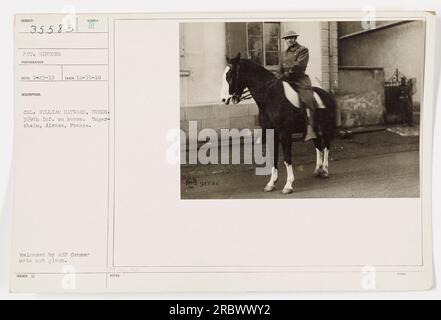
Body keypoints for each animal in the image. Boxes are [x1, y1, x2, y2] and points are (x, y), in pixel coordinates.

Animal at [218, 52, 336, 195]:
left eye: (230, 74)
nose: (224, 99)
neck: (271, 96)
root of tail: (327, 94)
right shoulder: (271, 132)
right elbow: (273, 157)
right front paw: (271, 183)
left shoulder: (285, 133)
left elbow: (287, 158)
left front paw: (288, 185)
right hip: (313, 129)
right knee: (318, 146)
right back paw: (318, 169)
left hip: (326, 128)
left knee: (326, 147)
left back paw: (325, 170)